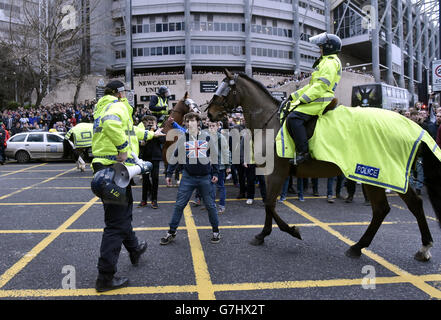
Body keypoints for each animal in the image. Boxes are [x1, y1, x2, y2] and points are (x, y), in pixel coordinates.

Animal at [206, 69, 440, 260]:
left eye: (224, 89)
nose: (209, 113)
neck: (270, 122)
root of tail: (412, 126)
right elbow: (269, 204)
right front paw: (264, 234)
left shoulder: (276, 172)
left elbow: (269, 204)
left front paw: (288, 231)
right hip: (389, 175)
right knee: (410, 205)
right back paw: (422, 247)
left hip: (374, 174)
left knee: (383, 209)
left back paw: (358, 247)